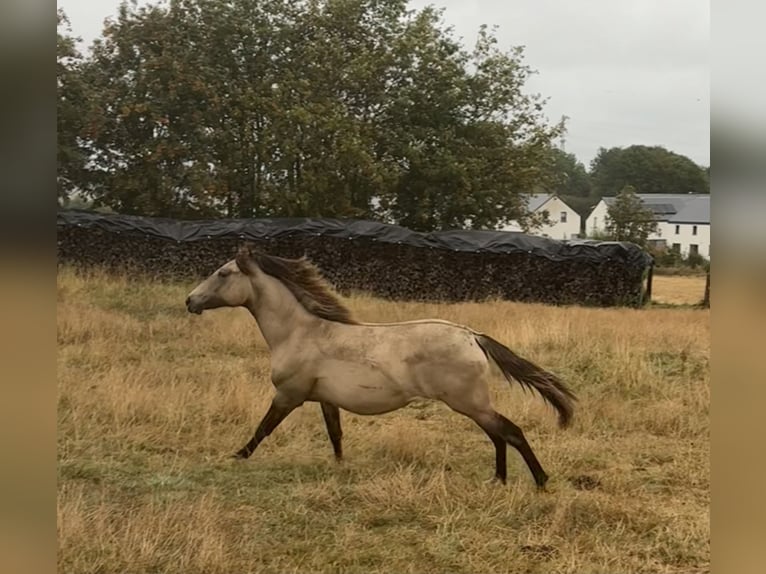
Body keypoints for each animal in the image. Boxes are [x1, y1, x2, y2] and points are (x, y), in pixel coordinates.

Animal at [185, 244, 577, 489]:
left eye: (222, 273)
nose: (190, 301)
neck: (300, 332)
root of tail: (472, 336)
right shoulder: (325, 398)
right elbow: (335, 434)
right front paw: (340, 466)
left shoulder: (288, 395)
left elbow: (263, 428)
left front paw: (236, 456)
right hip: (473, 404)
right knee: (498, 435)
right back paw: (499, 480)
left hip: (469, 402)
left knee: (510, 431)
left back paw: (540, 481)